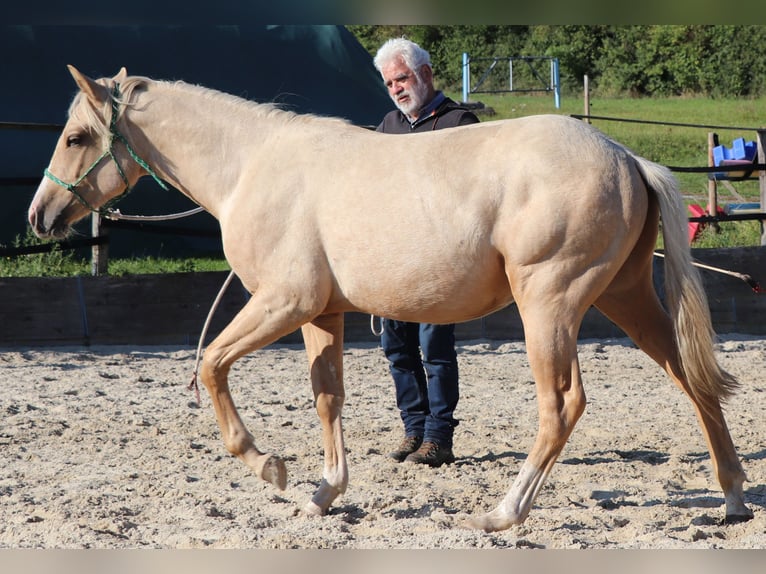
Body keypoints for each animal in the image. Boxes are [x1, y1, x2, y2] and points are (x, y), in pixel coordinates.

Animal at [28, 66, 753, 532]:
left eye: (76, 137)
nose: (39, 216)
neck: (251, 166)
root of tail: (629, 158)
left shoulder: (283, 302)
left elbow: (210, 366)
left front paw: (271, 468)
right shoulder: (320, 313)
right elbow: (327, 398)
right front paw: (323, 493)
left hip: (549, 305)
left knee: (562, 406)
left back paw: (505, 513)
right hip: (624, 299)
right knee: (692, 381)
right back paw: (733, 499)